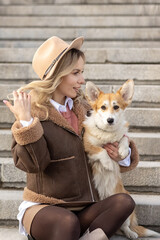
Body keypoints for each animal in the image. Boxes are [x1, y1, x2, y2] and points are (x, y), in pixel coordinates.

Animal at [82, 79, 160, 239]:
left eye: (116, 107)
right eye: (103, 107)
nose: (110, 120)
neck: (108, 133)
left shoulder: (122, 137)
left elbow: (124, 138)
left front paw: (123, 151)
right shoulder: (88, 145)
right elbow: (101, 150)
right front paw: (107, 163)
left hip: (127, 203)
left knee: (125, 226)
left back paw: (131, 233)